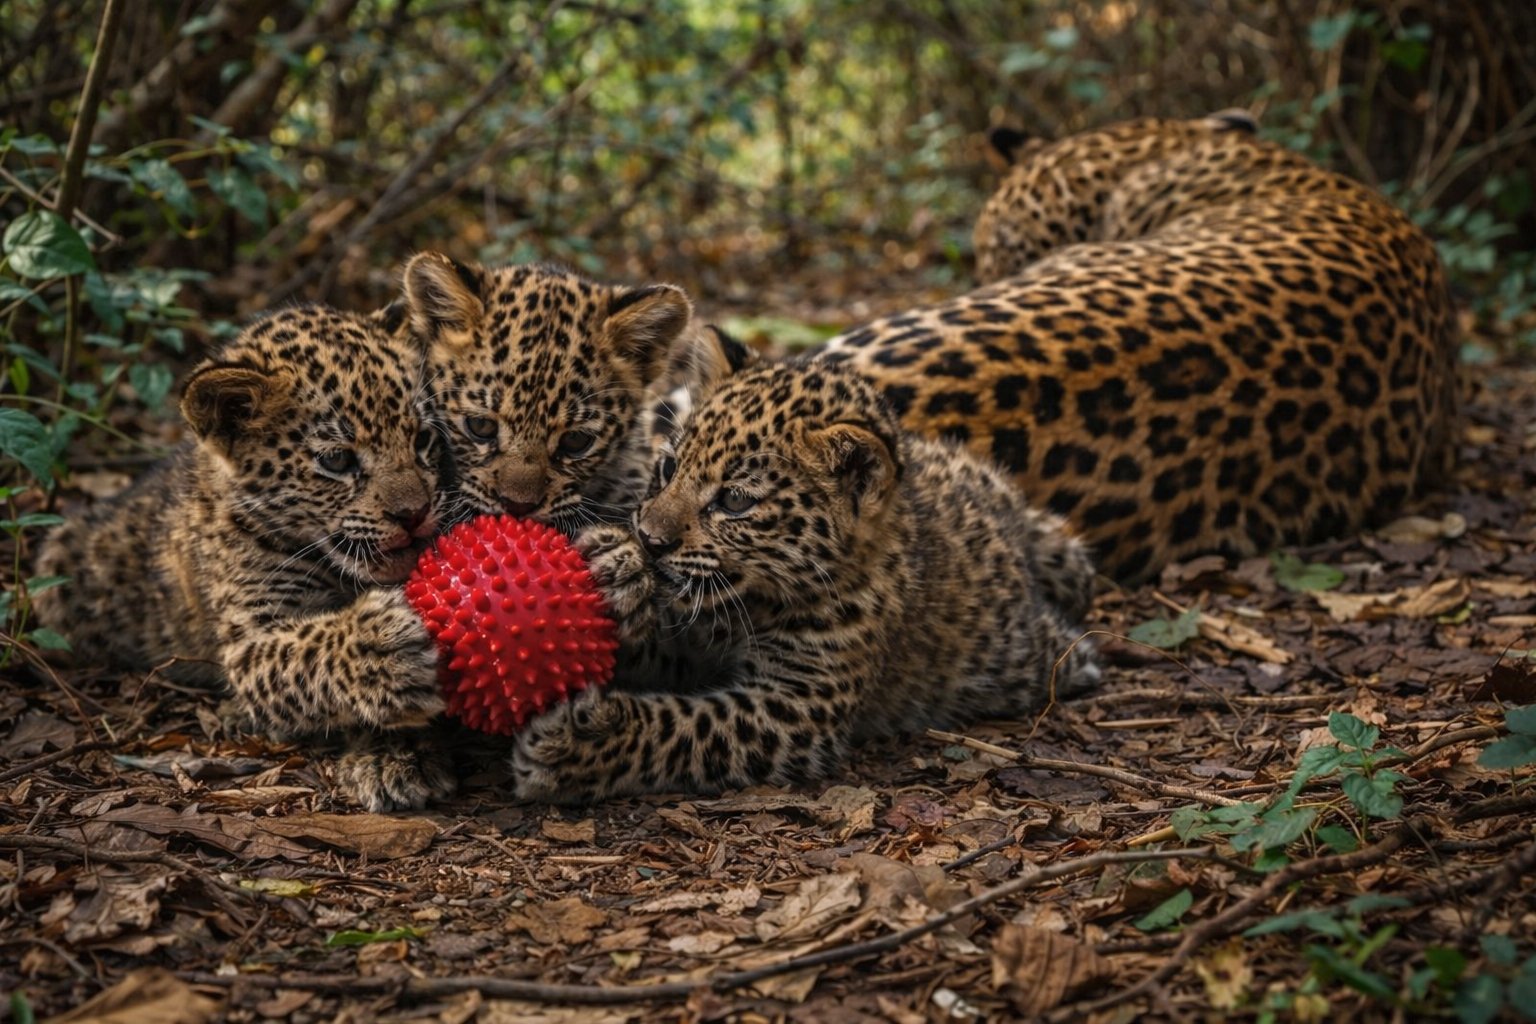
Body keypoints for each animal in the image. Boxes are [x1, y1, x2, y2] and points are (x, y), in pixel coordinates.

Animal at [34, 305, 456, 811]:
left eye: (423, 438)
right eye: (336, 460)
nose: (414, 514)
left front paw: (397, 753)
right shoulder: (248, 639)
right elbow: (303, 654)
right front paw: (381, 651)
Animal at [510, 355, 1102, 803]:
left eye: (735, 501)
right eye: (669, 468)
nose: (650, 539)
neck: (746, 603)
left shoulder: (798, 705)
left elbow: (687, 728)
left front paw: (577, 746)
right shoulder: (694, 638)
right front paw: (618, 571)